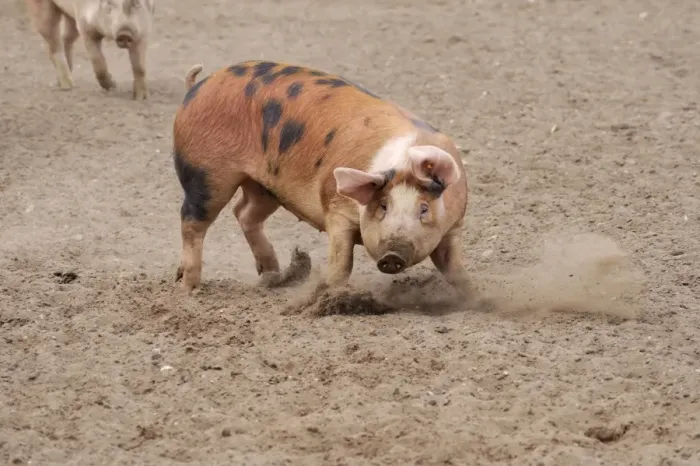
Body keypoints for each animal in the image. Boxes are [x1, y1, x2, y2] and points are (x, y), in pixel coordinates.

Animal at [23, 0, 155, 100]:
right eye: (109, 2)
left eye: (136, 2)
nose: (124, 33)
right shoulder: (84, 26)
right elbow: (98, 62)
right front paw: (113, 86)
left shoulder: (143, 30)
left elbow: (139, 66)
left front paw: (142, 98)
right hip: (42, 10)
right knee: (54, 45)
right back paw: (68, 86)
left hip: (70, 17)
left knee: (66, 38)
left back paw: (62, 81)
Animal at [173, 60, 478, 305]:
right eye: (382, 206)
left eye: (424, 209)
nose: (393, 255)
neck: (403, 162)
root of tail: (197, 87)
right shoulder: (336, 209)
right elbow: (342, 262)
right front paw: (333, 298)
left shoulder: (453, 225)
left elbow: (453, 267)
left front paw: (476, 297)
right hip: (206, 173)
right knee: (192, 220)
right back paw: (188, 290)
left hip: (265, 186)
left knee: (244, 212)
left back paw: (272, 276)